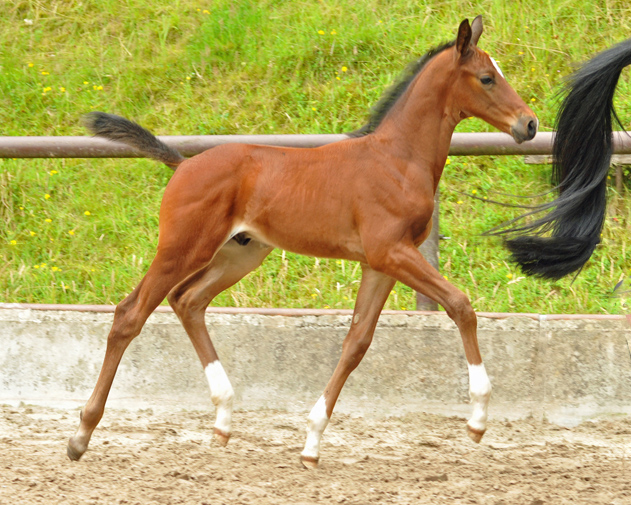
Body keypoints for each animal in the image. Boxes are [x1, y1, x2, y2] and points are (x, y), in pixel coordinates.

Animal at [66, 15, 536, 466]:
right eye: (487, 78)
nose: (528, 124)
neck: (398, 159)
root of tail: (182, 164)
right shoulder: (391, 252)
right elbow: (460, 305)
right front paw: (477, 420)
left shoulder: (380, 264)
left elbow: (356, 343)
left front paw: (311, 442)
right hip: (182, 248)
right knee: (130, 314)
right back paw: (81, 435)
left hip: (239, 254)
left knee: (188, 300)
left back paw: (223, 417)